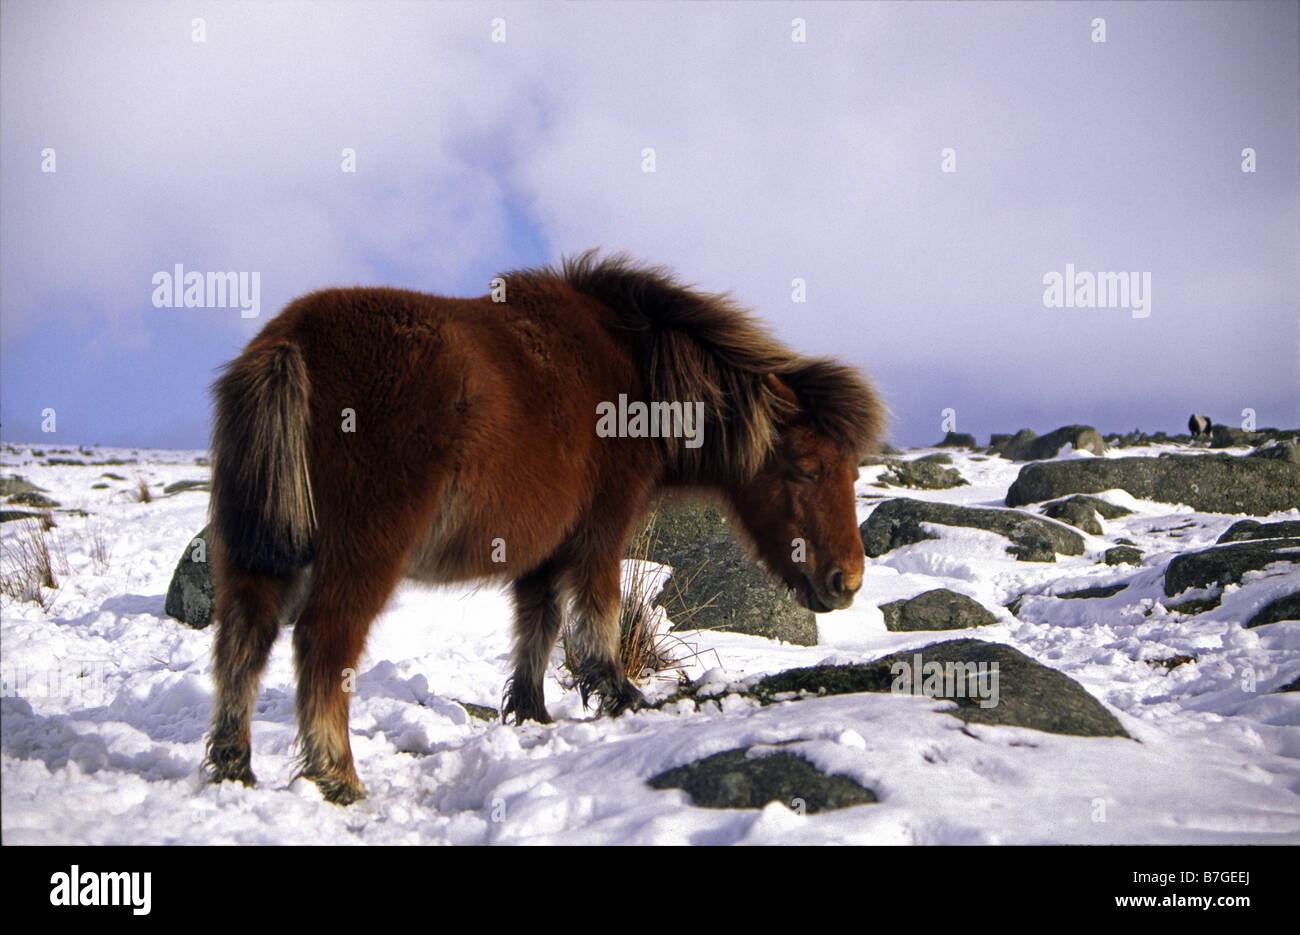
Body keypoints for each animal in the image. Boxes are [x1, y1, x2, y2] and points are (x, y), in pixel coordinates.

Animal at [203, 250, 885, 804]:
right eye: (805, 468)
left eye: (852, 469)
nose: (846, 581)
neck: (634, 374)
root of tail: (290, 342)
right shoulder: (600, 533)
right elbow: (598, 617)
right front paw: (621, 699)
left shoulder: (541, 554)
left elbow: (538, 627)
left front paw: (531, 715)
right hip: (364, 552)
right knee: (322, 643)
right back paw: (338, 777)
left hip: (254, 556)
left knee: (243, 639)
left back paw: (234, 767)